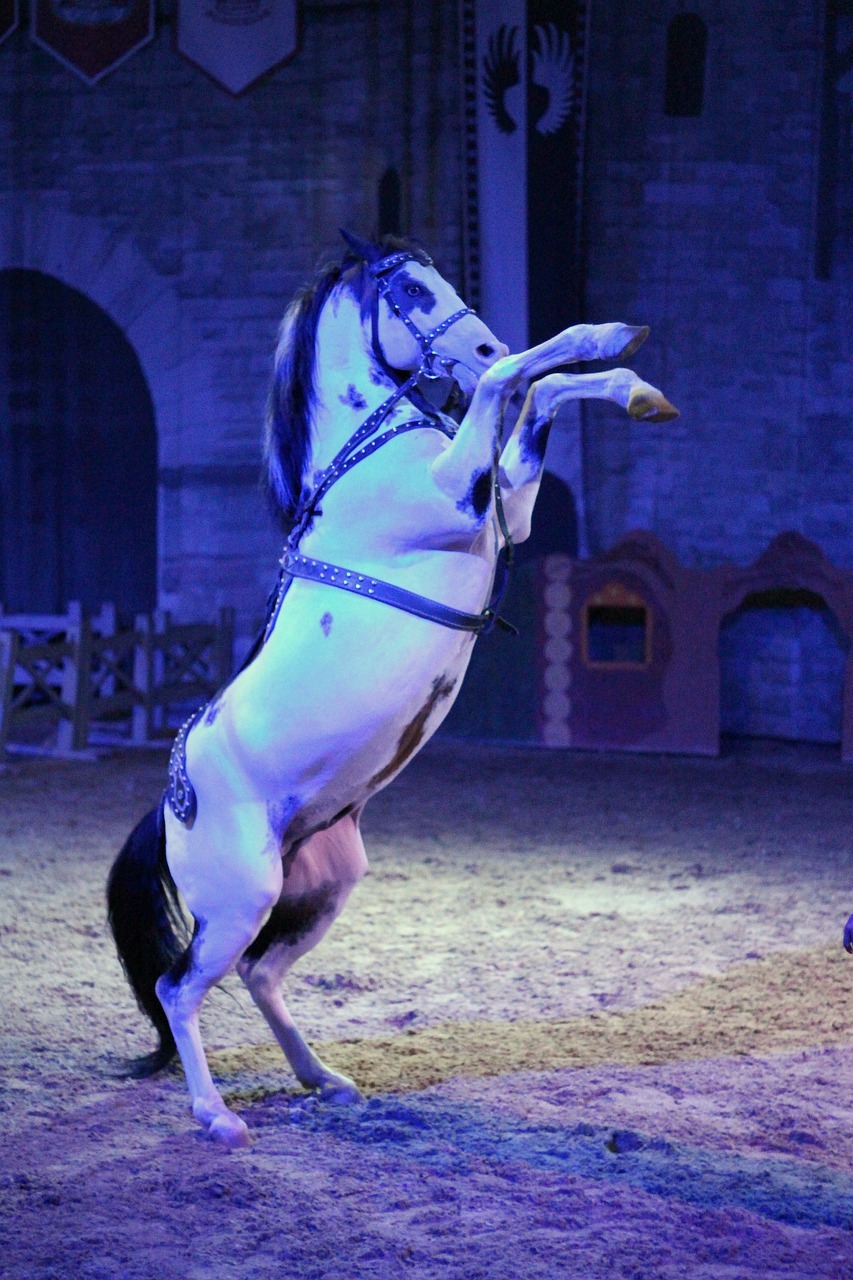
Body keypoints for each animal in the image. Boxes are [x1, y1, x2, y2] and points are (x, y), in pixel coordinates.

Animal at [107, 231, 678, 1148]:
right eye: (411, 290)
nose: (477, 342)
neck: (364, 455)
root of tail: (169, 807)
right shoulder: (454, 494)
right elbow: (512, 380)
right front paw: (596, 342)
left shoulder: (502, 507)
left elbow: (536, 398)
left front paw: (635, 384)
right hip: (239, 900)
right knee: (181, 989)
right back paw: (216, 1118)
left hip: (319, 887)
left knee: (260, 976)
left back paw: (322, 1079)